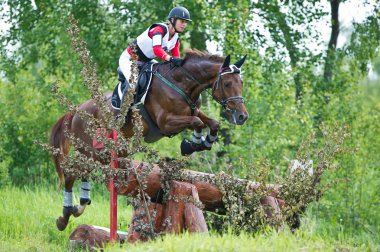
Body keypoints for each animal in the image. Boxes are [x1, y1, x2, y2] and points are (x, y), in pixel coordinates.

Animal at [51, 49, 249, 230]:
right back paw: (64, 217)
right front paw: (190, 144)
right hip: (90, 148)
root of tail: (77, 111)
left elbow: (212, 123)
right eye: (228, 83)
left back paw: (79, 206)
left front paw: (204, 142)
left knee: (84, 171)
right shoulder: (166, 123)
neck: (182, 83)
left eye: (241, 83)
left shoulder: (193, 111)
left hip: (102, 152)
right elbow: (197, 122)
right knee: (71, 173)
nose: (242, 117)